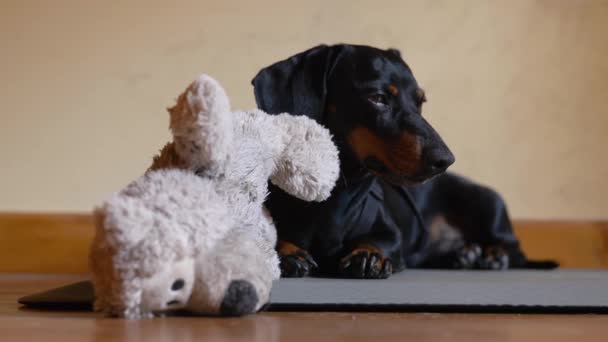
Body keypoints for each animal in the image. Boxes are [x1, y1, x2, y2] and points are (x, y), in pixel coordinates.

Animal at [251, 43, 556, 278]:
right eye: (378, 98)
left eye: (420, 101)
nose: (445, 159)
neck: (332, 198)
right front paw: (287, 253)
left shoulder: (390, 233)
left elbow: (383, 241)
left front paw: (369, 254)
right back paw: (463, 254)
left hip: (487, 203)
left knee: (514, 248)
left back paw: (492, 256)